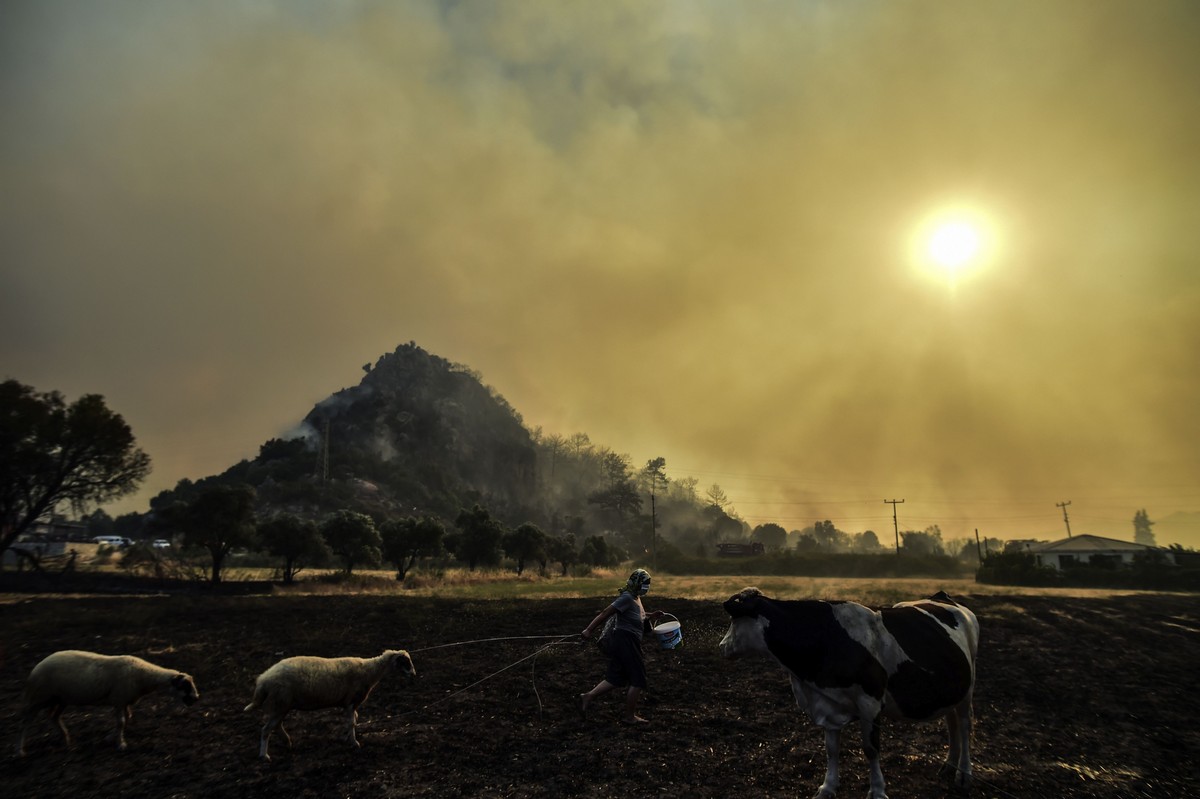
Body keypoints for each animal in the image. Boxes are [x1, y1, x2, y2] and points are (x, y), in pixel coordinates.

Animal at [17, 647, 199, 753]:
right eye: (185, 686)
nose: (196, 699)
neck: (143, 676)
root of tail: (35, 668)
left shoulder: (124, 701)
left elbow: (126, 719)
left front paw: (111, 737)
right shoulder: (119, 700)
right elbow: (122, 722)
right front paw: (121, 744)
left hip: (61, 699)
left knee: (53, 717)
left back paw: (67, 739)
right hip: (38, 698)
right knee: (26, 722)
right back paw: (20, 750)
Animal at [241, 643, 415, 758]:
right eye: (405, 662)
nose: (413, 674)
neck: (370, 671)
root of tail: (263, 680)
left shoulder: (348, 704)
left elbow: (353, 720)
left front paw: (347, 737)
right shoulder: (351, 701)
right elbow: (352, 722)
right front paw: (354, 743)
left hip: (281, 705)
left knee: (276, 726)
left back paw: (288, 743)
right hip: (280, 703)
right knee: (266, 730)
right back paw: (265, 756)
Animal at [720, 585, 974, 796]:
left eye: (734, 620)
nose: (721, 646)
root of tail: (942, 597)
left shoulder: (870, 702)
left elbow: (871, 749)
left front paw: (877, 790)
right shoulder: (828, 704)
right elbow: (831, 749)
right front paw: (827, 787)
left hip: (968, 691)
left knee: (963, 727)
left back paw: (964, 774)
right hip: (954, 691)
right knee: (951, 723)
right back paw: (949, 766)